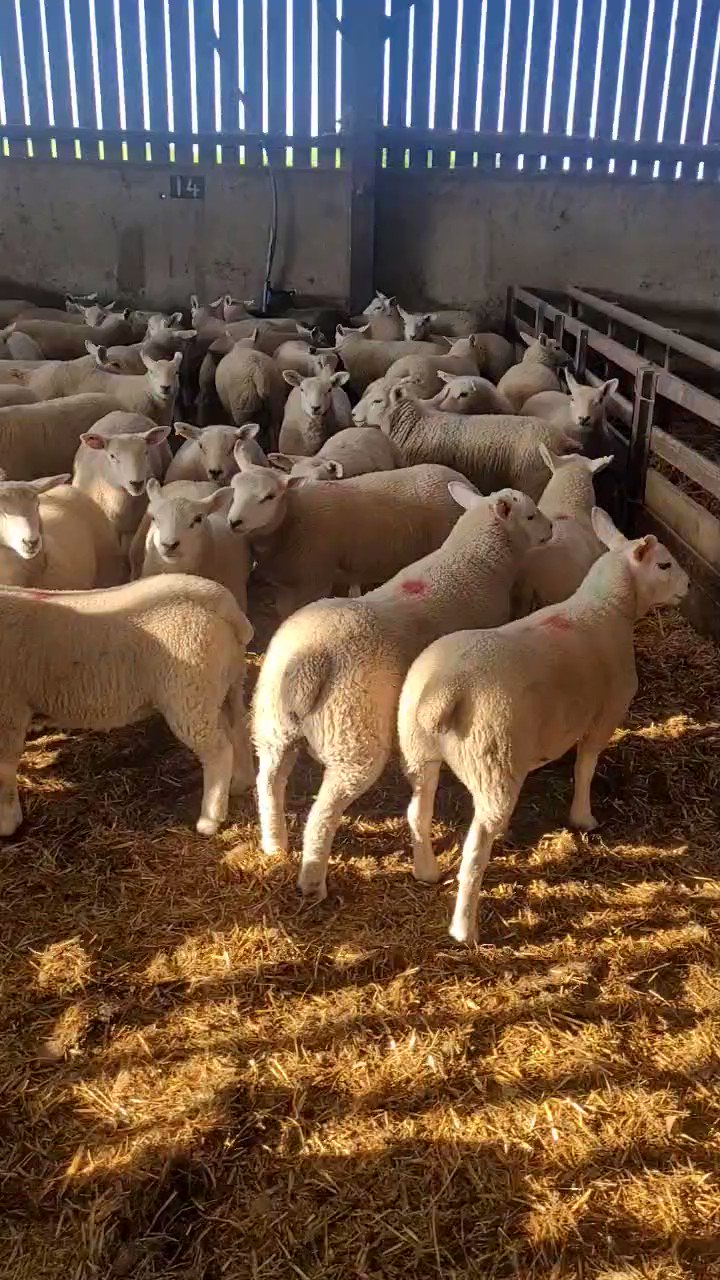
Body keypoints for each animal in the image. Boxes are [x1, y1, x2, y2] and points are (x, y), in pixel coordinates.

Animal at [0, 574, 255, 837]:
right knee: (238, 729)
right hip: (226, 684)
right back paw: (241, 783)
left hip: (190, 693)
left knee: (219, 750)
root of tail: (223, 602)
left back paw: (210, 820)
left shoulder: (9, 709)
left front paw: (7, 822)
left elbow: (4, 768)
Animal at [227, 461, 471, 627]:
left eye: (269, 496)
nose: (234, 522)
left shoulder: (314, 581)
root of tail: (463, 480)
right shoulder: (287, 584)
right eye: (234, 489)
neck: (293, 516)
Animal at [252, 485, 551, 899]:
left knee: (268, 784)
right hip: (351, 736)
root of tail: (308, 663)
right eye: (531, 515)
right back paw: (312, 881)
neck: (475, 561)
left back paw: (274, 844)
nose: (551, 530)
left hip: (273, 725)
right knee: (322, 812)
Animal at [397, 509, 689, 944]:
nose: (687, 586)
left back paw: (426, 871)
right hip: (494, 761)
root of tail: (445, 691)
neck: (605, 608)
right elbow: (585, 768)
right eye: (665, 565)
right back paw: (465, 928)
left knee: (418, 813)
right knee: (474, 850)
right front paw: (583, 818)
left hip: (418, 750)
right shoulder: (605, 714)